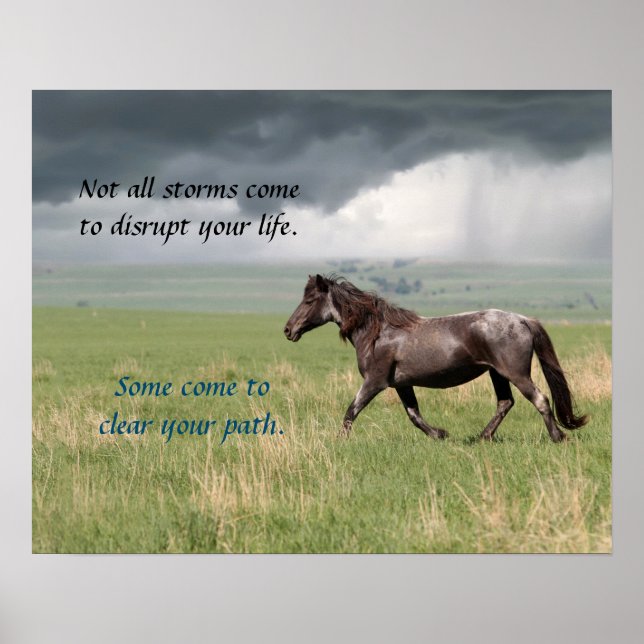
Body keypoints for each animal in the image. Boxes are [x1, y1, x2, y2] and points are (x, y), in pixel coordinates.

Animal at [284, 274, 587, 442]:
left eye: (309, 301)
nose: (288, 330)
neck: (377, 333)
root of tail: (524, 320)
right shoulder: (402, 384)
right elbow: (414, 415)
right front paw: (440, 434)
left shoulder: (375, 382)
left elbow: (351, 411)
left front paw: (339, 441)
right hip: (497, 373)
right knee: (505, 403)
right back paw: (483, 437)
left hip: (516, 373)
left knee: (540, 399)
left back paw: (558, 437)